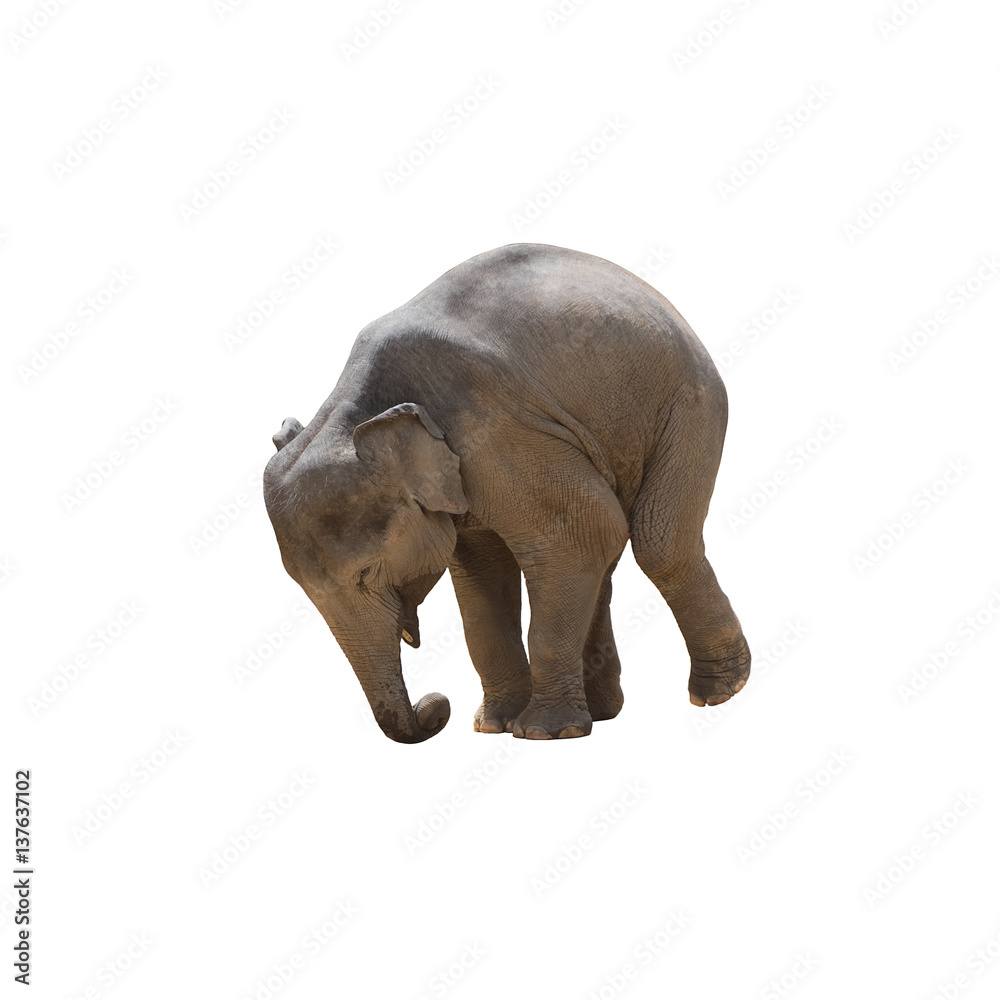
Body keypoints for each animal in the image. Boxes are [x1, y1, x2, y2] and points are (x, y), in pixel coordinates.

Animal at [263, 243, 750, 743]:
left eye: (365, 573)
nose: (436, 707)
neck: (357, 411)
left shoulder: (496, 430)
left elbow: (575, 538)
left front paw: (541, 733)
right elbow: (483, 573)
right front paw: (493, 726)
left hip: (690, 403)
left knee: (658, 543)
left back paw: (718, 694)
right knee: (611, 558)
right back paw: (603, 712)